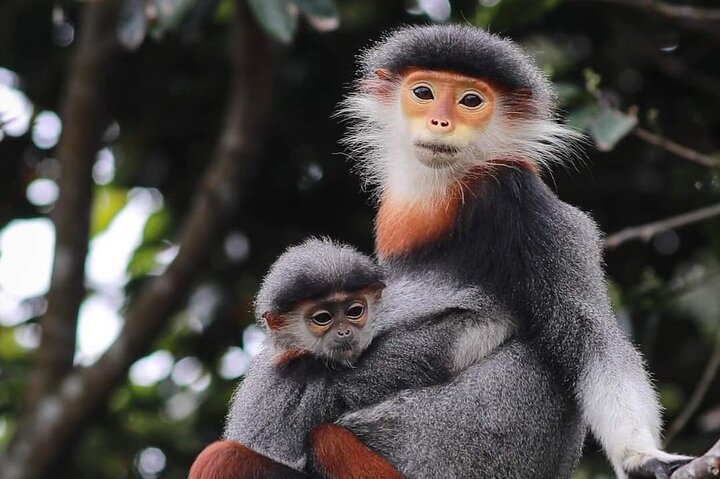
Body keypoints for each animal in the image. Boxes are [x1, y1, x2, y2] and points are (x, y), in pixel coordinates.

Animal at [191, 25, 695, 479]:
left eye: (470, 101)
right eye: (424, 92)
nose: (440, 121)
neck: (448, 193)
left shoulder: (518, 197)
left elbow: (591, 341)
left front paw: (642, 458)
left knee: (236, 454)